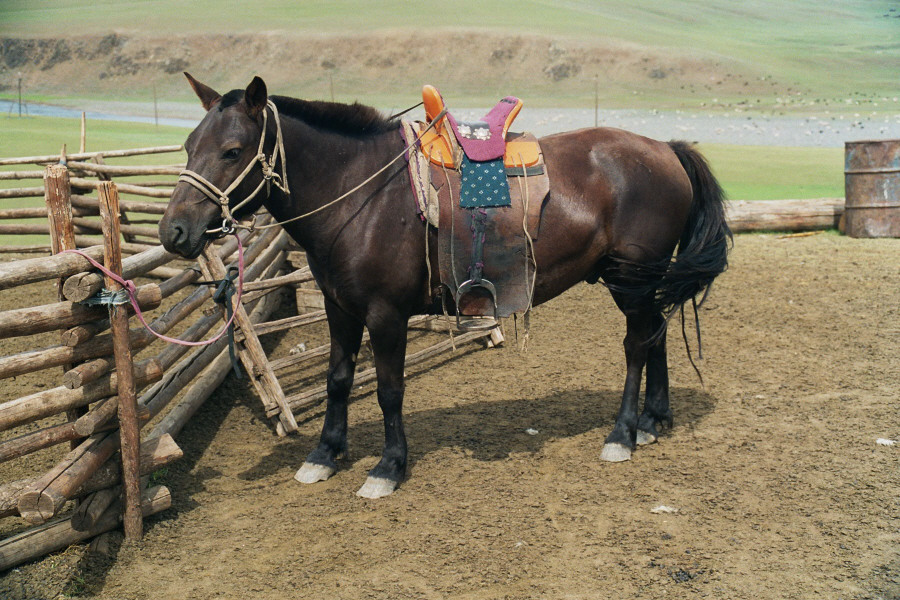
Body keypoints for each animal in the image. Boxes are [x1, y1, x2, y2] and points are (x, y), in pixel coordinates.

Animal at [156, 74, 732, 496]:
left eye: (232, 151)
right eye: (188, 144)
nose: (174, 232)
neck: (359, 192)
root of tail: (665, 149)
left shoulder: (385, 314)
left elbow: (388, 388)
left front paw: (387, 467)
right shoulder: (341, 308)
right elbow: (338, 380)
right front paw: (324, 454)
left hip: (628, 277)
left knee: (637, 345)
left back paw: (623, 433)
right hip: (643, 281)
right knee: (656, 335)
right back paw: (654, 421)